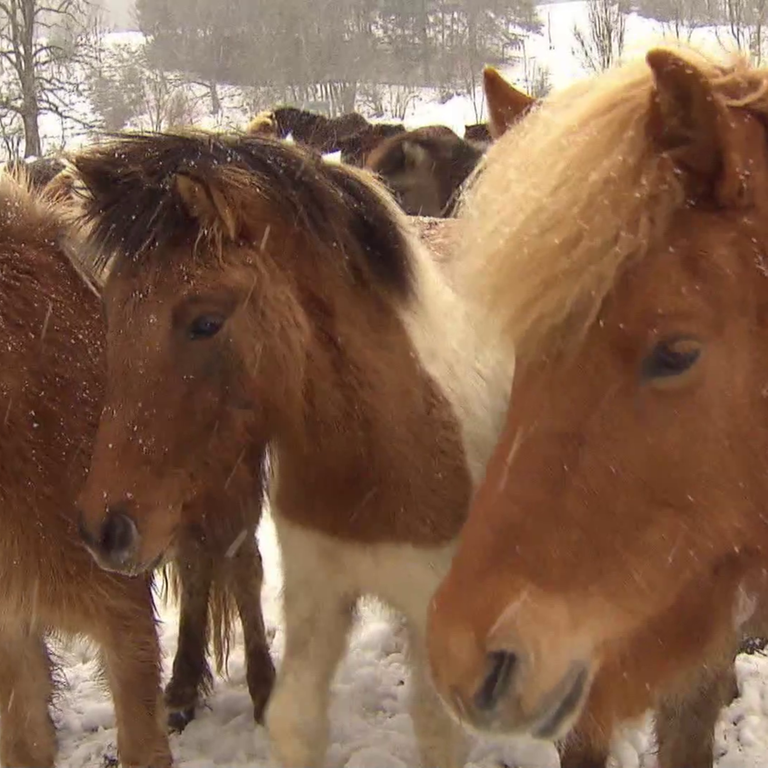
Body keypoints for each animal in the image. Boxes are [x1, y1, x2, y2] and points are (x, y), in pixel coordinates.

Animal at [64, 130, 510, 768]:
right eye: (108, 309)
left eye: (205, 322)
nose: (104, 530)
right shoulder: (316, 594)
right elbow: (294, 720)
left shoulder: (433, 602)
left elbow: (438, 730)